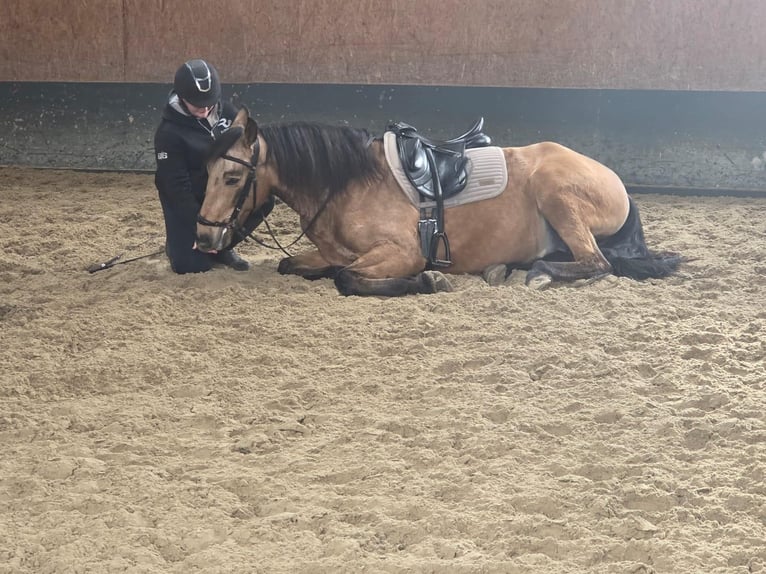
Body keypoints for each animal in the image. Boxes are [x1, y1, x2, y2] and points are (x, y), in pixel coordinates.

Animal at [196, 107, 682, 296]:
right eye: (206, 172)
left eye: (233, 177)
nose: (203, 236)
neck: (349, 181)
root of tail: (614, 180)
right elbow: (296, 264)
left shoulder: (401, 252)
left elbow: (348, 278)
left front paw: (430, 280)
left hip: (555, 192)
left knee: (598, 262)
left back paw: (539, 273)